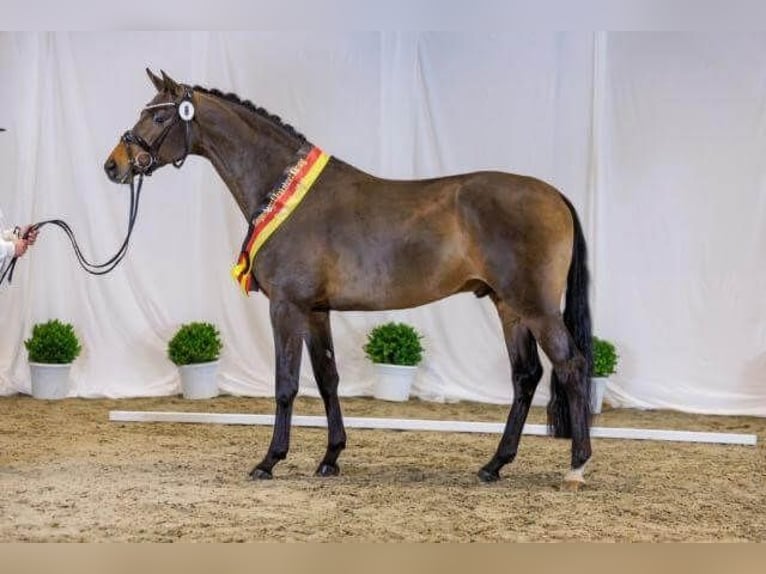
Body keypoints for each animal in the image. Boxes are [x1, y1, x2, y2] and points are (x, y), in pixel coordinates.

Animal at [103, 67, 592, 490]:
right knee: (526, 376)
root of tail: (554, 194)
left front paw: (269, 460)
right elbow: (327, 378)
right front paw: (330, 457)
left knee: (571, 364)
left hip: (536, 307)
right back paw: (494, 465)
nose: (114, 165)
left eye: (159, 115)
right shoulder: (317, 311)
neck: (283, 193)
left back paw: (577, 465)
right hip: (508, 306)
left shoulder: (286, 306)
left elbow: (286, 383)